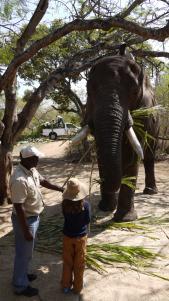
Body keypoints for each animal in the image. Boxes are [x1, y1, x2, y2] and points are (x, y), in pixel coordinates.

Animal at [83, 45, 158, 221]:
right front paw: (105, 208)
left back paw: (150, 191)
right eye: (90, 91)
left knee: (149, 155)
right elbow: (101, 152)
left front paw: (125, 219)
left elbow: (133, 154)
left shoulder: (143, 111)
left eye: (134, 92)